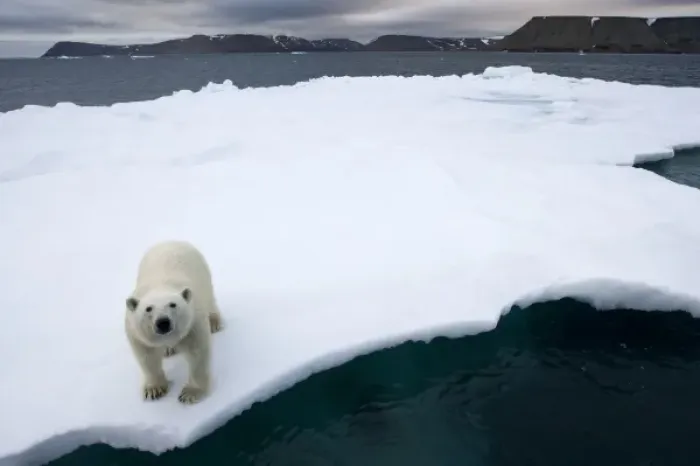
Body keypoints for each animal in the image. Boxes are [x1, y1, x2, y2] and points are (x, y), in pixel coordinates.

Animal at [124, 240, 223, 404]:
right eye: (148, 309)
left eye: (173, 304)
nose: (163, 322)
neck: (159, 287)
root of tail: (170, 241)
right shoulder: (137, 332)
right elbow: (147, 357)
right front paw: (154, 390)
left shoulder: (192, 324)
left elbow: (197, 354)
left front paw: (190, 394)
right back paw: (168, 350)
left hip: (202, 274)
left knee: (210, 298)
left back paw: (214, 322)